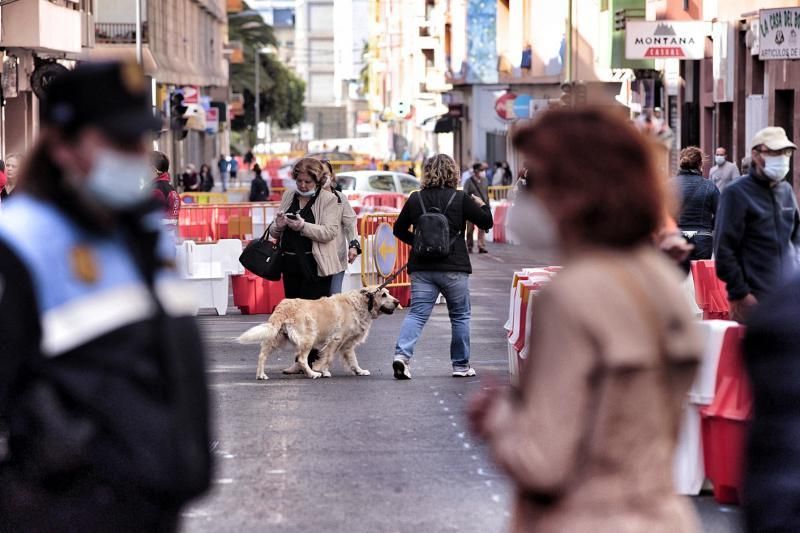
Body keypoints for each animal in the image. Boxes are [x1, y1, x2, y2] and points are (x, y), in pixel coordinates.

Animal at [236, 286, 400, 378]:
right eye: (383, 295)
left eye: (388, 293)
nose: (397, 302)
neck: (360, 303)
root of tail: (284, 306)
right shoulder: (336, 340)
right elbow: (328, 357)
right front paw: (322, 371)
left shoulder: (347, 345)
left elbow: (353, 360)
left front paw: (360, 371)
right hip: (308, 337)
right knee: (301, 359)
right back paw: (313, 374)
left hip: (275, 338)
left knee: (262, 355)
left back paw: (261, 375)